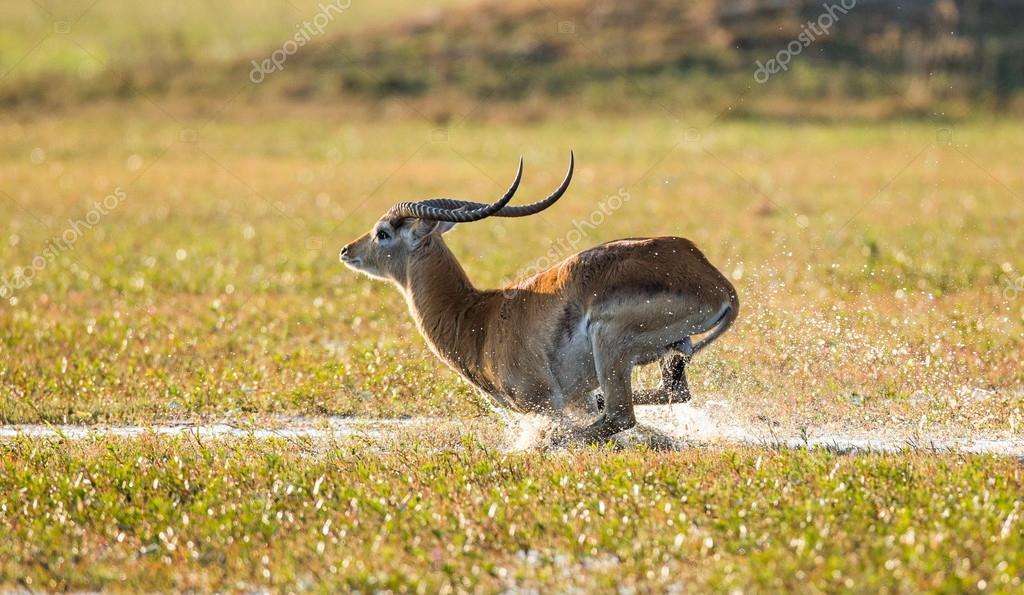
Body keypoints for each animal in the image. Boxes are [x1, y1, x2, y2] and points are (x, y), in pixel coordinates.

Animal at [342, 154, 737, 446]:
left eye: (383, 232)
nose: (346, 250)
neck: (476, 318)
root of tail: (714, 281)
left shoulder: (543, 401)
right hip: (670, 352)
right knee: (670, 395)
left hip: (609, 343)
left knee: (619, 415)